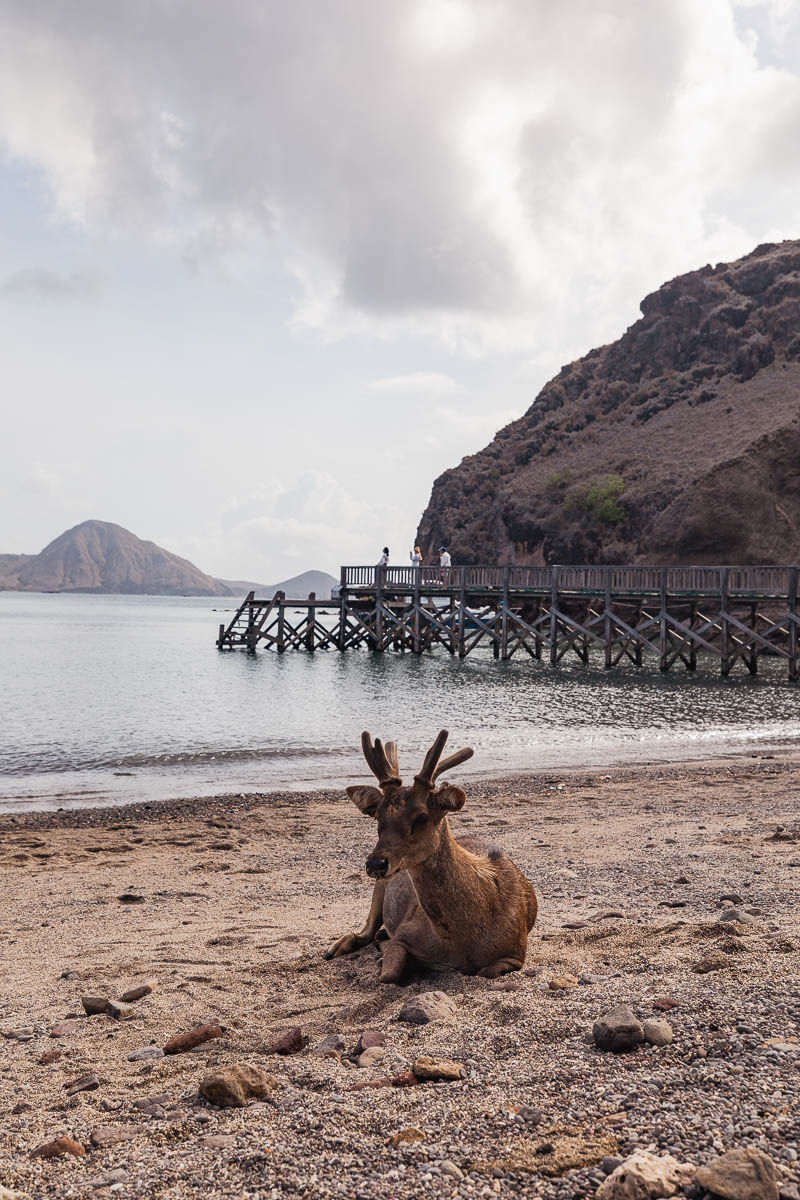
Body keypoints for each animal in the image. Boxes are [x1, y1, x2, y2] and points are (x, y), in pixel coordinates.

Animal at [324, 730, 537, 983]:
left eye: (422, 816)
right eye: (377, 815)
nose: (375, 863)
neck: (460, 944)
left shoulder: (516, 950)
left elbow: (487, 971)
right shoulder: (405, 933)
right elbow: (390, 974)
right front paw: (387, 960)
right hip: (380, 888)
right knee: (366, 931)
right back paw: (338, 948)